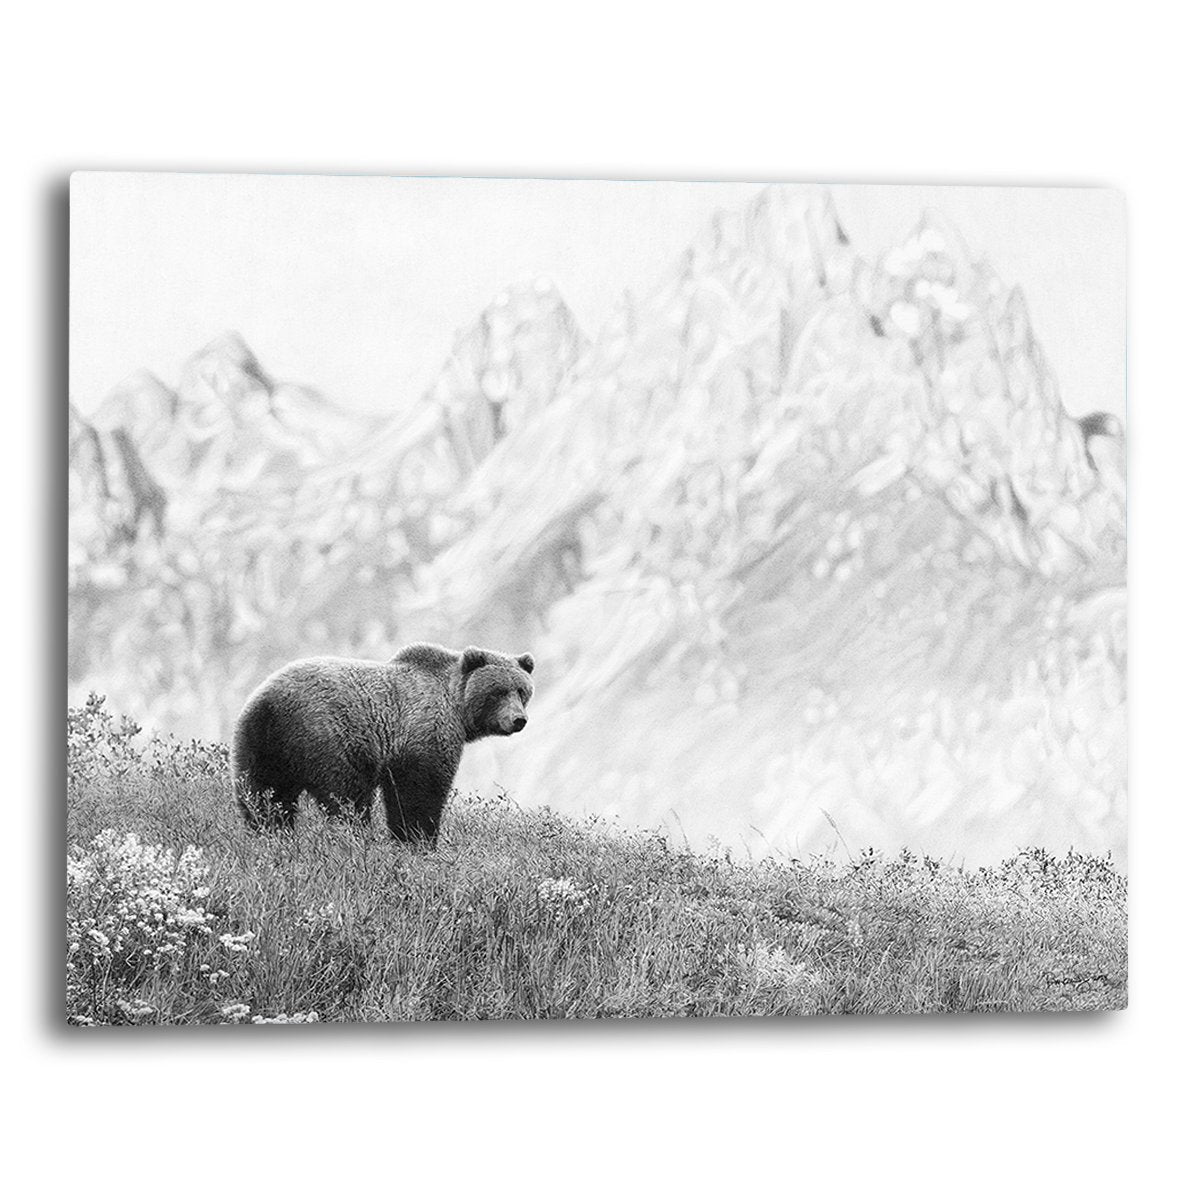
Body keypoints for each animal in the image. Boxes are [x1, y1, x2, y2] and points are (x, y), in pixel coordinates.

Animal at [231, 643, 534, 845]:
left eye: (521, 691)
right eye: (498, 691)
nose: (518, 720)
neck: (456, 706)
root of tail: (271, 703)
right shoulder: (422, 732)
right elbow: (419, 792)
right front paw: (417, 840)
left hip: (258, 743)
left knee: (262, 794)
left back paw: (270, 833)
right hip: (330, 736)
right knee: (347, 796)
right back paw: (355, 835)